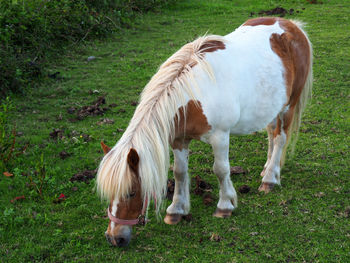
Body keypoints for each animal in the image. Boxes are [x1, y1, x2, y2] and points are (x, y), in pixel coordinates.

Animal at [95, 17, 312, 249]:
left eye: (131, 192)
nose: (114, 237)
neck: (194, 95)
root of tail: (292, 26)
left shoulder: (220, 136)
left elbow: (221, 170)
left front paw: (225, 206)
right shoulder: (178, 139)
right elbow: (179, 173)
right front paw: (176, 210)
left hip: (288, 106)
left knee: (280, 138)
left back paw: (270, 179)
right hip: (271, 107)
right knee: (272, 133)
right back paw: (268, 168)